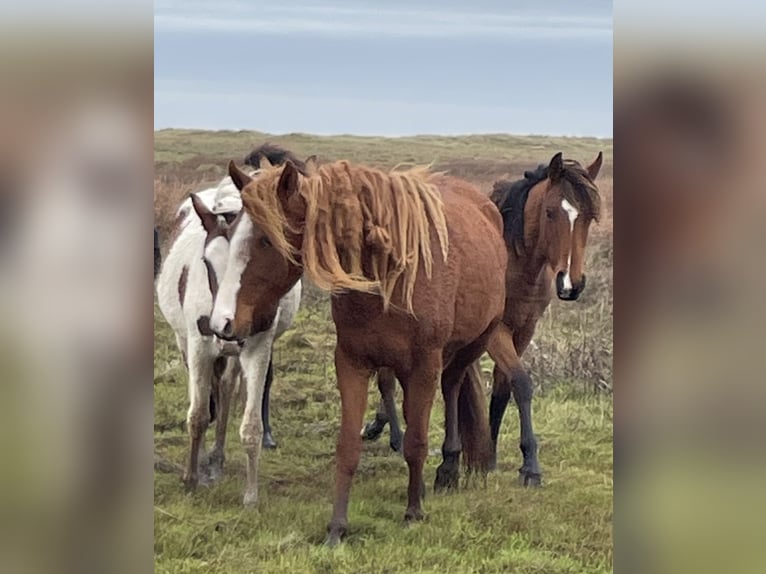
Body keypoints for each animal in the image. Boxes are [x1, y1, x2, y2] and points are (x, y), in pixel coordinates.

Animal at [155, 146, 304, 494]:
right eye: (207, 262)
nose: (223, 325)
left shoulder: (255, 347)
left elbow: (241, 414)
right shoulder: (198, 347)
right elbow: (197, 413)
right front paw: (191, 476)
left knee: (224, 389)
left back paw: (217, 457)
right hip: (188, 341)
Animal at [211, 156, 506, 545]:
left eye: (265, 240)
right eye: (230, 235)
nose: (222, 323)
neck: (386, 275)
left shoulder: (425, 365)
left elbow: (416, 441)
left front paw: (413, 513)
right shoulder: (352, 363)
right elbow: (349, 446)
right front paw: (337, 527)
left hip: (471, 346)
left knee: (452, 388)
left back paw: (448, 467)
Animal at [361, 151, 603, 485]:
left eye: (589, 216)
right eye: (551, 212)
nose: (571, 284)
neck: (516, 260)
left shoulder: (524, 330)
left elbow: (503, 389)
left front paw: (491, 451)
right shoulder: (496, 332)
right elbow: (521, 383)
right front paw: (529, 465)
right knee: (386, 377)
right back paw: (395, 435)